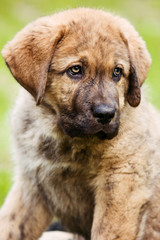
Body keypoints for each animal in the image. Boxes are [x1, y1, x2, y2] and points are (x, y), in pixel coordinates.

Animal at [0, 7, 160, 240]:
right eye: (75, 70)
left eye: (117, 72)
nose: (106, 114)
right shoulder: (31, 187)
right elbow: (10, 226)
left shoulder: (122, 183)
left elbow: (106, 232)